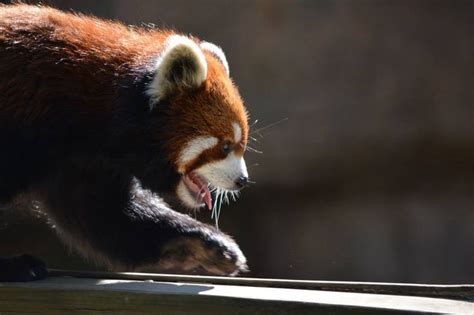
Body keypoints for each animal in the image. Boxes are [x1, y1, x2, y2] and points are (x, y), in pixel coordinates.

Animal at [0, 4, 250, 282]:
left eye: (242, 145)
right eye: (225, 146)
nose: (242, 181)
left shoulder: (82, 161)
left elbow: (108, 215)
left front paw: (207, 243)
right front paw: (12, 265)